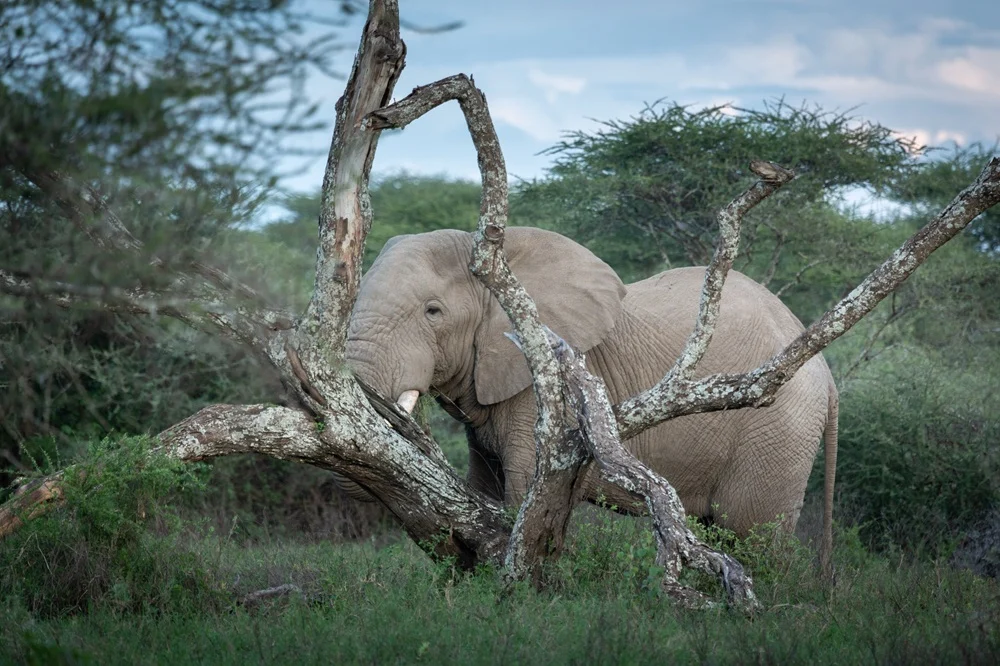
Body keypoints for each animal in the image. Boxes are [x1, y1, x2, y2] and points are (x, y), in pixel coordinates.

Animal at [346, 227, 838, 544]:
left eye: (433, 312)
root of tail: (826, 373)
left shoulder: (548, 383)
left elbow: (523, 494)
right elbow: (483, 487)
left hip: (779, 426)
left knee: (752, 533)